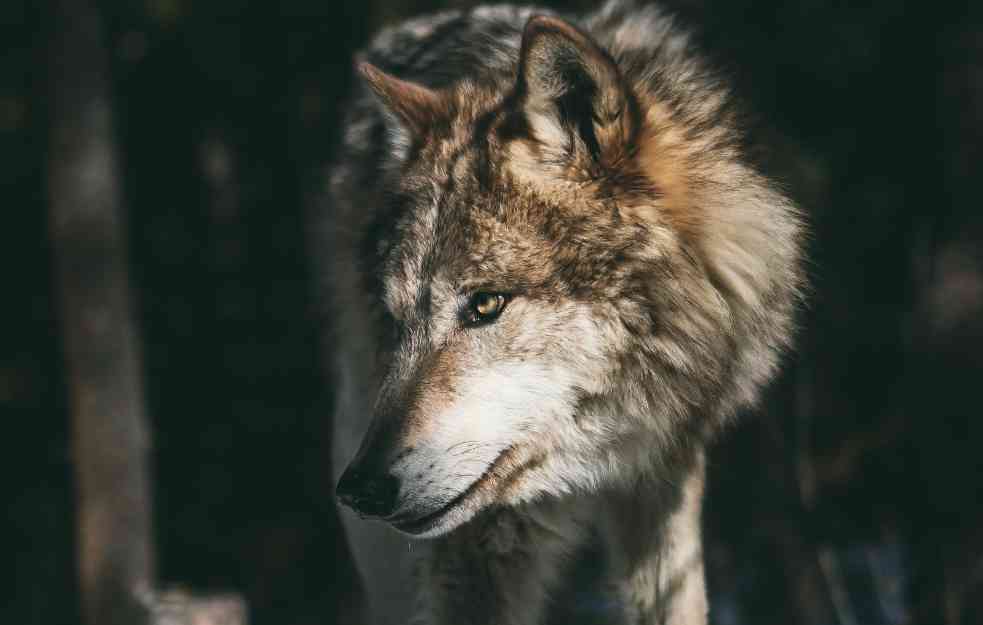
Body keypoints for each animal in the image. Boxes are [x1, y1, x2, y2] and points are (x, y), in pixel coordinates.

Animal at [320, 2, 804, 620]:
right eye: (397, 320)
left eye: (485, 303)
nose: (358, 490)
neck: (594, 458)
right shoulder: (476, 547)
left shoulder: (664, 481)